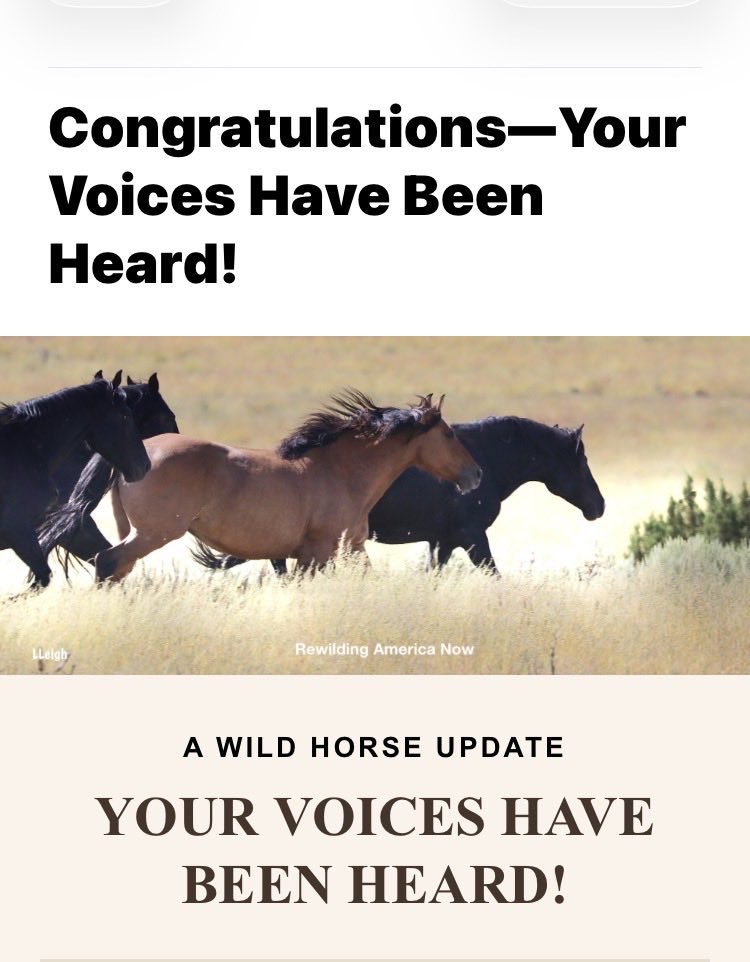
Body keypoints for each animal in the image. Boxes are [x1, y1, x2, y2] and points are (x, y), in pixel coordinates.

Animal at [84, 390, 481, 582]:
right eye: (449, 434)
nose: (475, 474)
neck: (340, 472)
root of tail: (138, 454)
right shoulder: (314, 554)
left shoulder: (350, 548)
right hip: (155, 533)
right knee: (108, 562)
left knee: (117, 568)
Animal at [196, 415, 605, 575]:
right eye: (581, 460)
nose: (598, 507)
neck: (488, 459)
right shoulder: (473, 538)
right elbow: (494, 575)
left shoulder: (443, 542)